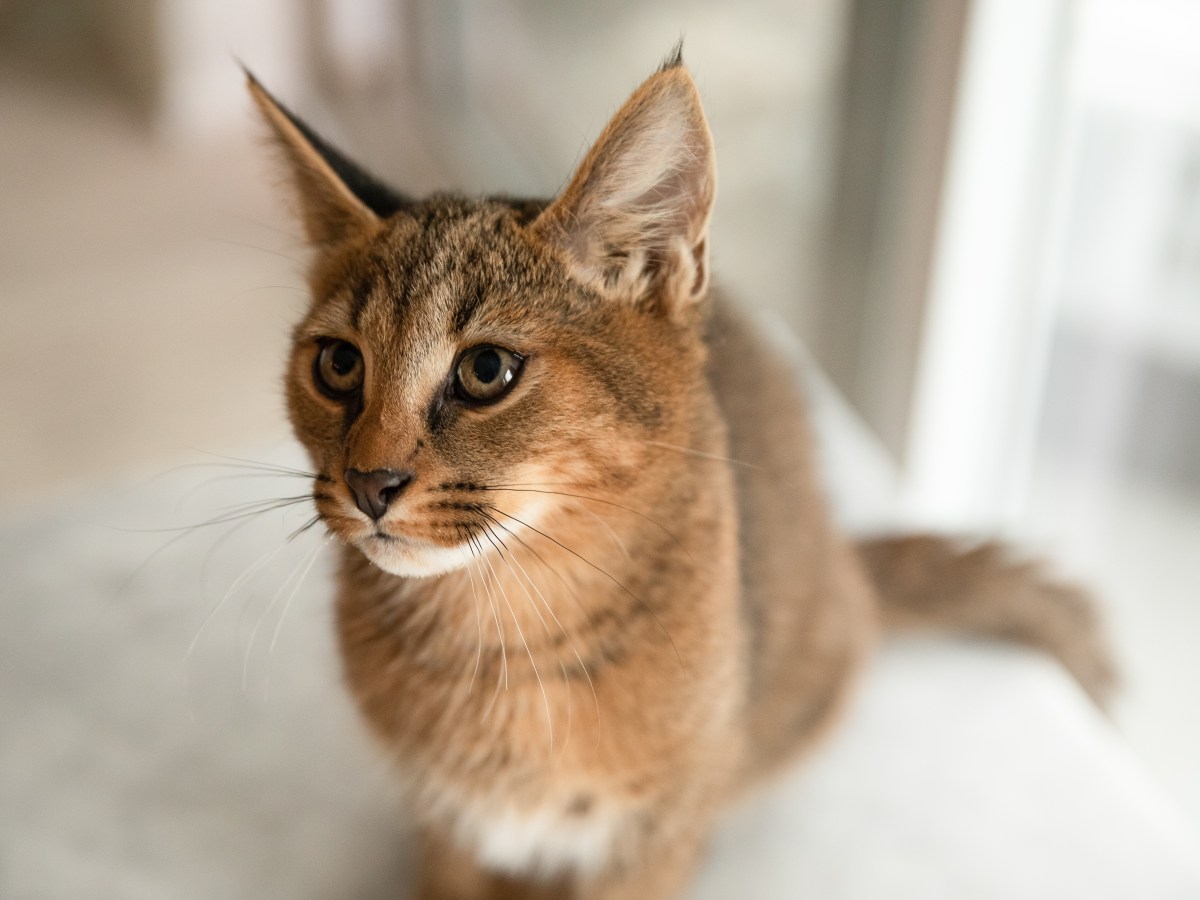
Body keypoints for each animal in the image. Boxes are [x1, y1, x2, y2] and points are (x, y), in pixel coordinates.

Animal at [243, 47, 1113, 900]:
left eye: (486, 370)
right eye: (338, 364)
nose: (368, 483)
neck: (501, 642)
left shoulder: (647, 838)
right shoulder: (446, 828)